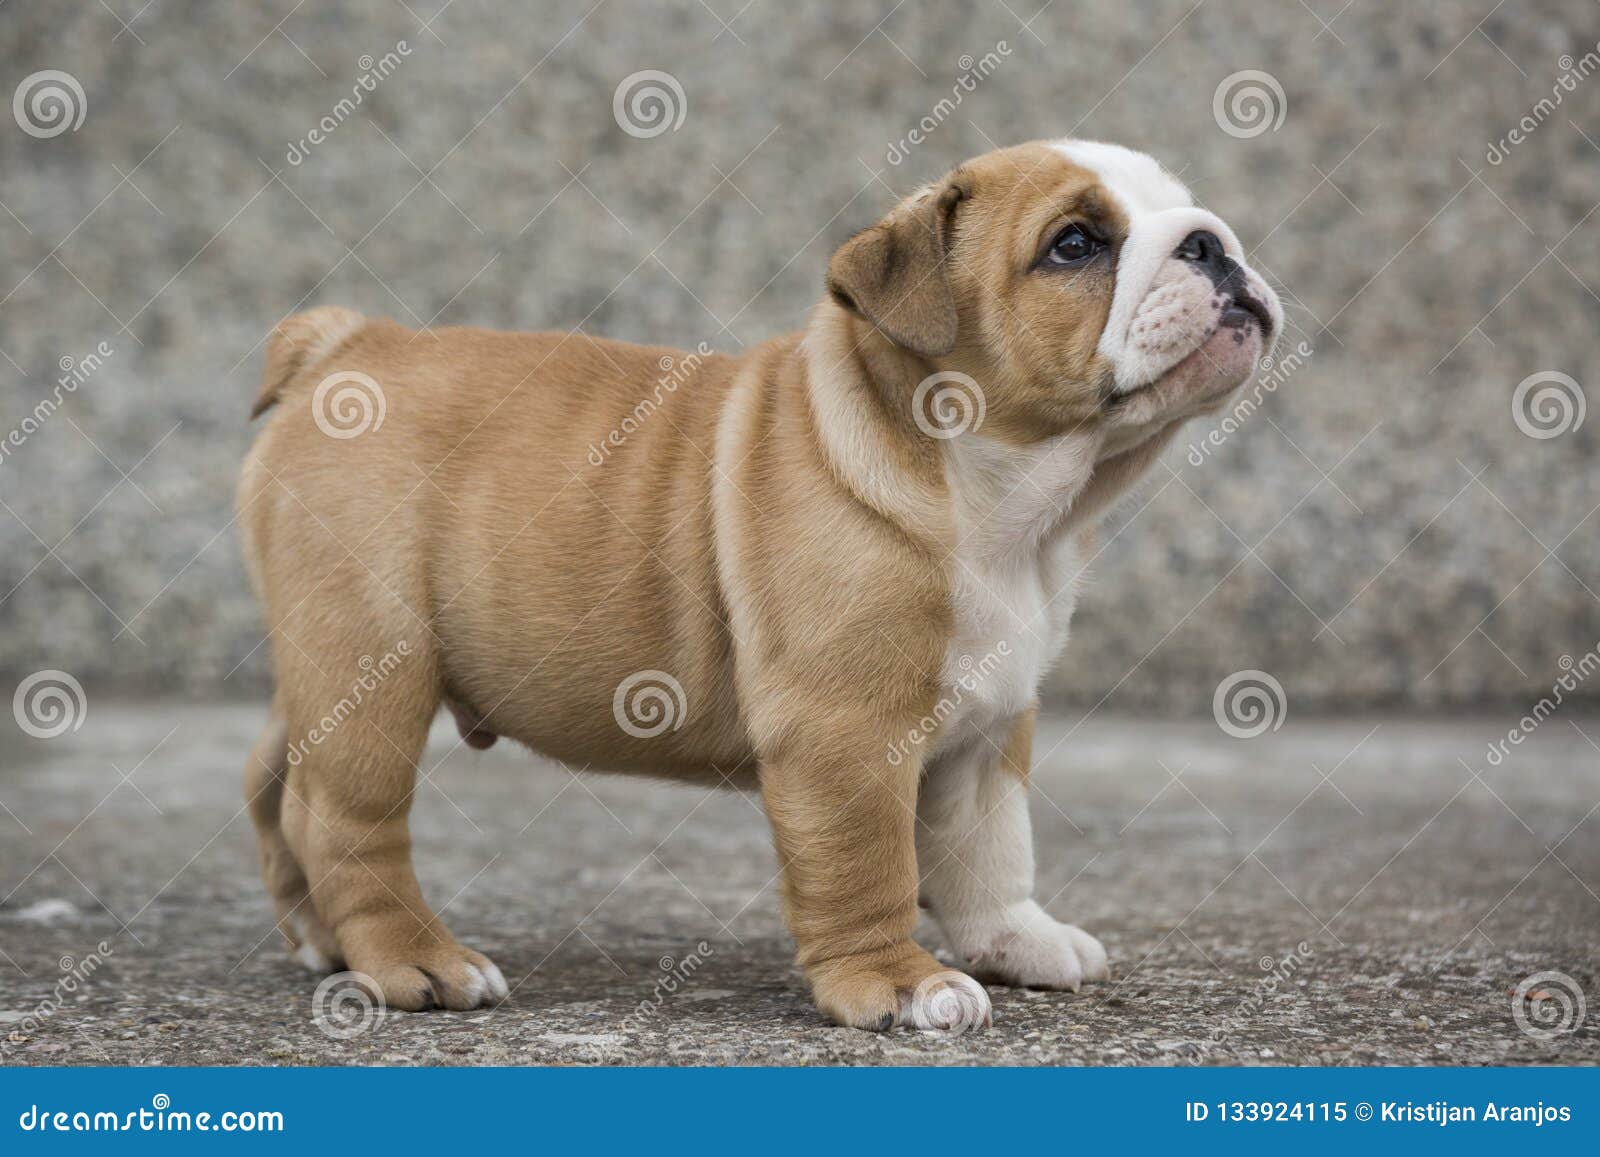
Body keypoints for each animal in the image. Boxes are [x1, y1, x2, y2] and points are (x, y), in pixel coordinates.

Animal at [236, 138, 1280, 1030]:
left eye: (1187, 208)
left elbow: (990, 846)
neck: (1002, 505)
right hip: (376, 666)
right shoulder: (844, 731)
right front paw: (897, 983)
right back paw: (413, 958)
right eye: (1076, 245)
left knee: (277, 784)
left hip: (324, 665)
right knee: (346, 820)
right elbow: (867, 861)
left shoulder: (989, 727)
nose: (1211, 240)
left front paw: (1014, 939)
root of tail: (345, 346)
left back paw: (325, 942)